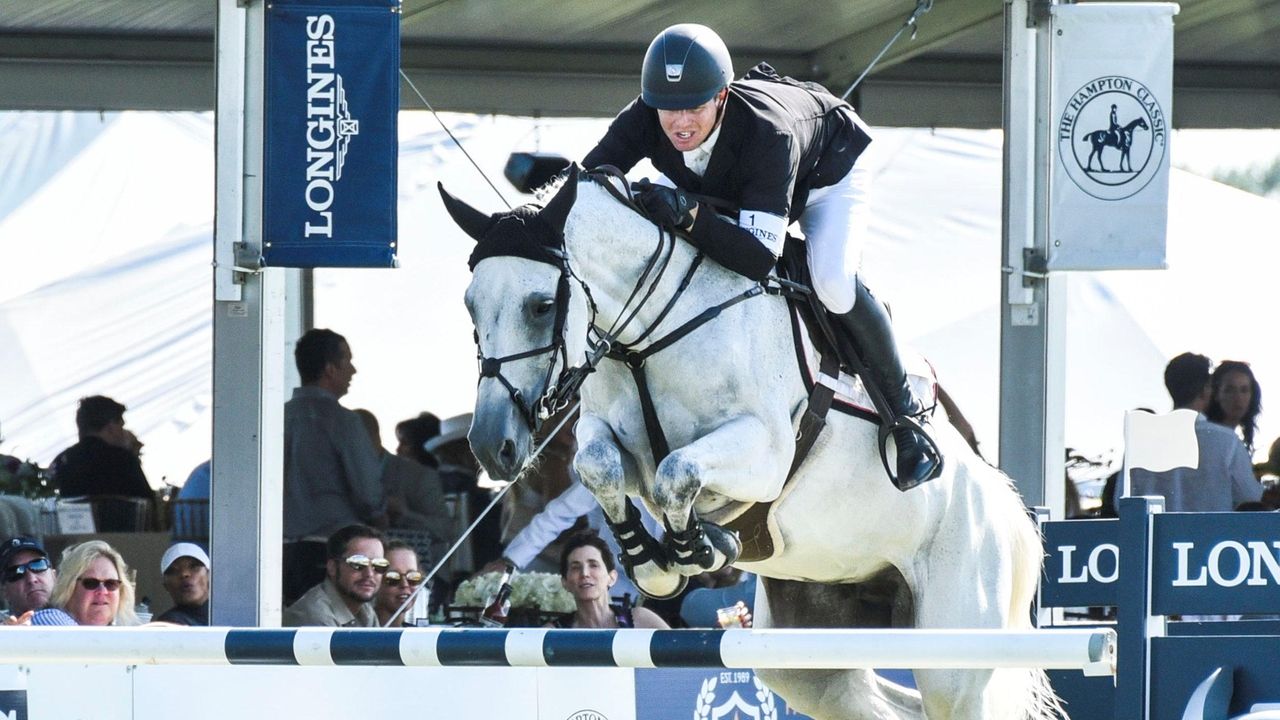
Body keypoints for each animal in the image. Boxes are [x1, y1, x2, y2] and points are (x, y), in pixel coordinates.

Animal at [440, 167, 1063, 720]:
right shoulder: (601, 432)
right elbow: (602, 467)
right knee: (877, 702)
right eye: (470, 305)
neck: (647, 337)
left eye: (541, 305)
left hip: (953, 651)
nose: (491, 445)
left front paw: (700, 548)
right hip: (809, 648)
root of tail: (1004, 504)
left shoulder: (763, 450)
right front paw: (653, 559)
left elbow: (677, 470)